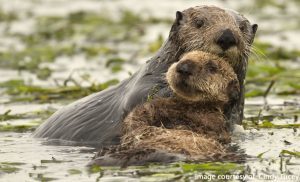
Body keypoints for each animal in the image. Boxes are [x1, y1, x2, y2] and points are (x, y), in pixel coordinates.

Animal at [90, 50, 240, 166]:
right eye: (181, 58)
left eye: (212, 67)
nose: (184, 67)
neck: (187, 107)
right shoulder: (158, 105)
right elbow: (137, 117)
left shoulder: (212, 122)